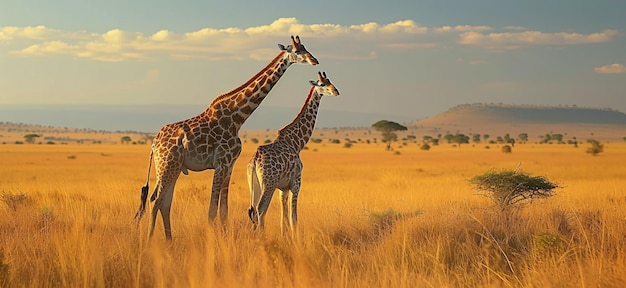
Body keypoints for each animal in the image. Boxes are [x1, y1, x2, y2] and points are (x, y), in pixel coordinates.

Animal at [132, 35, 316, 238]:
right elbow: (212, 209)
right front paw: (213, 239)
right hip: (167, 165)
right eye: (297, 50)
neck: (238, 116)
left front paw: (225, 238)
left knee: (164, 202)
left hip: (173, 167)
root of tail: (154, 144)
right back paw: (150, 240)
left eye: (305, 47)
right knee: (155, 200)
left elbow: (223, 210)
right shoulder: (221, 163)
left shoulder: (229, 165)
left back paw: (169, 240)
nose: (314, 60)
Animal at [245, 71, 342, 235]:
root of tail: (255, 160)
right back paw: (262, 238)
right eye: (323, 84)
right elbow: (293, 218)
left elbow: (283, 219)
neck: (297, 142)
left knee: (253, 212)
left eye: (330, 81)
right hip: (268, 184)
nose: (336, 91)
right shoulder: (296, 183)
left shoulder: (283, 188)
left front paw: (285, 237)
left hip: (254, 185)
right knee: (260, 210)